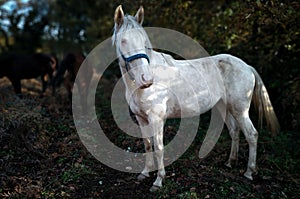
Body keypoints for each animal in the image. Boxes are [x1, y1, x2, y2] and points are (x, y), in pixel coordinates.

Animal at [112, 5, 278, 191]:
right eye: (123, 41)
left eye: (144, 42)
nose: (146, 79)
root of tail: (247, 66)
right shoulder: (141, 118)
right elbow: (148, 145)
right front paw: (145, 173)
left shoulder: (157, 119)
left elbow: (159, 148)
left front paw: (158, 181)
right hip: (224, 107)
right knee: (235, 131)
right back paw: (230, 162)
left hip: (240, 110)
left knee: (251, 134)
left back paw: (249, 172)